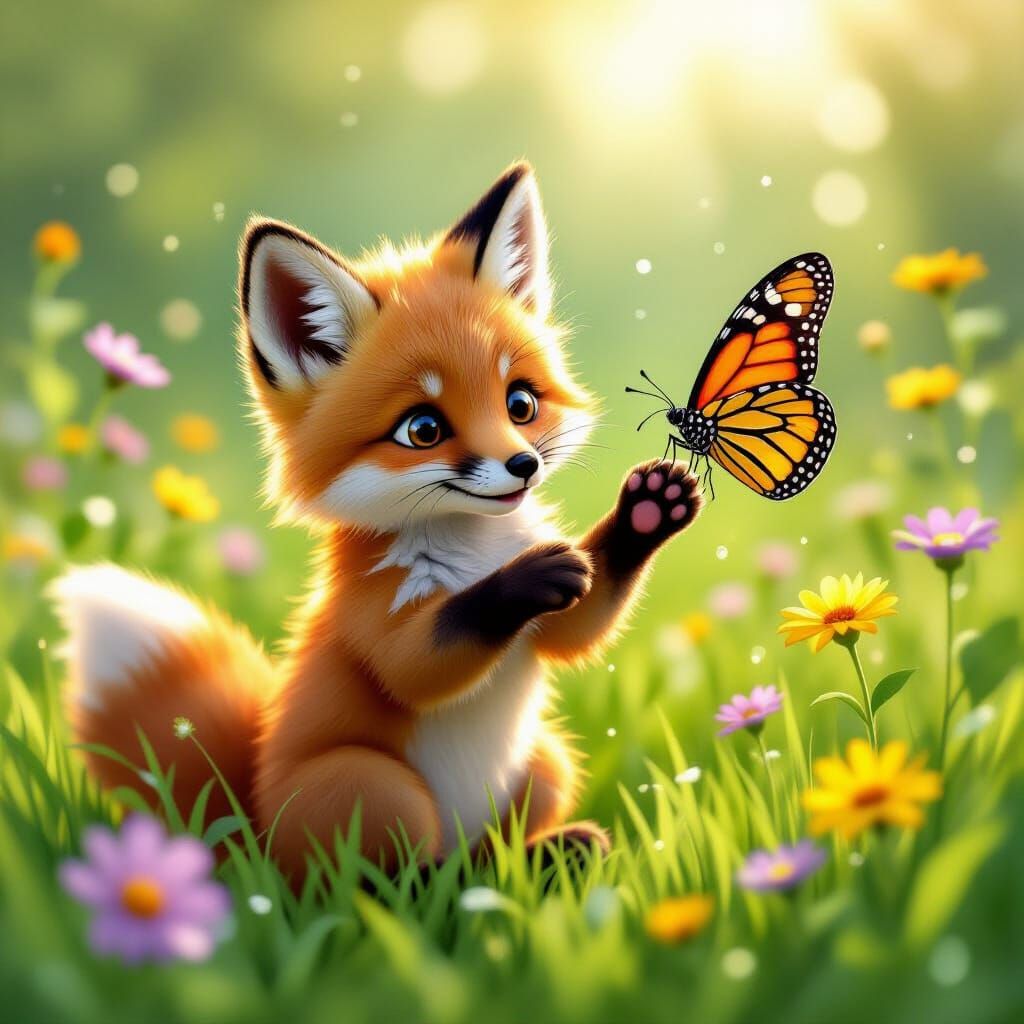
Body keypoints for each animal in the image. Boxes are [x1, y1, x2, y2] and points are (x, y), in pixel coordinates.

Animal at [51, 163, 702, 879]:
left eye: (521, 403)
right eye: (423, 429)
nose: (524, 465)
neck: (476, 545)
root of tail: (253, 819)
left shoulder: (547, 633)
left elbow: (578, 629)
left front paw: (648, 510)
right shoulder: (375, 609)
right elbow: (425, 657)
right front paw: (524, 578)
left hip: (547, 762)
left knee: (486, 860)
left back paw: (549, 856)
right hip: (376, 785)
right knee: (396, 883)